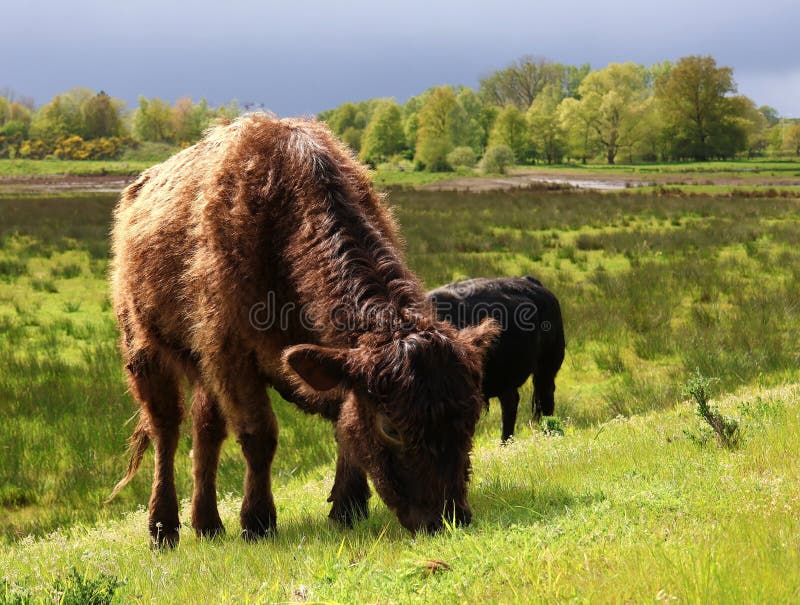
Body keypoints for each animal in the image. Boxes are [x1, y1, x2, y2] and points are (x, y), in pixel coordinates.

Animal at [106, 114, 494, 548]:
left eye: (472, 415)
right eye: (391, 428)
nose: (448, 518)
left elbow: (343, 424)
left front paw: (347, 508)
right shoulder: (232, 354)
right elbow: (259, 435)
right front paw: (258, 521)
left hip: (203, 369)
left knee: (206, 430)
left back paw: (207, 525)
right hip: (143, 349)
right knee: (166, 429)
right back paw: (163, 528)